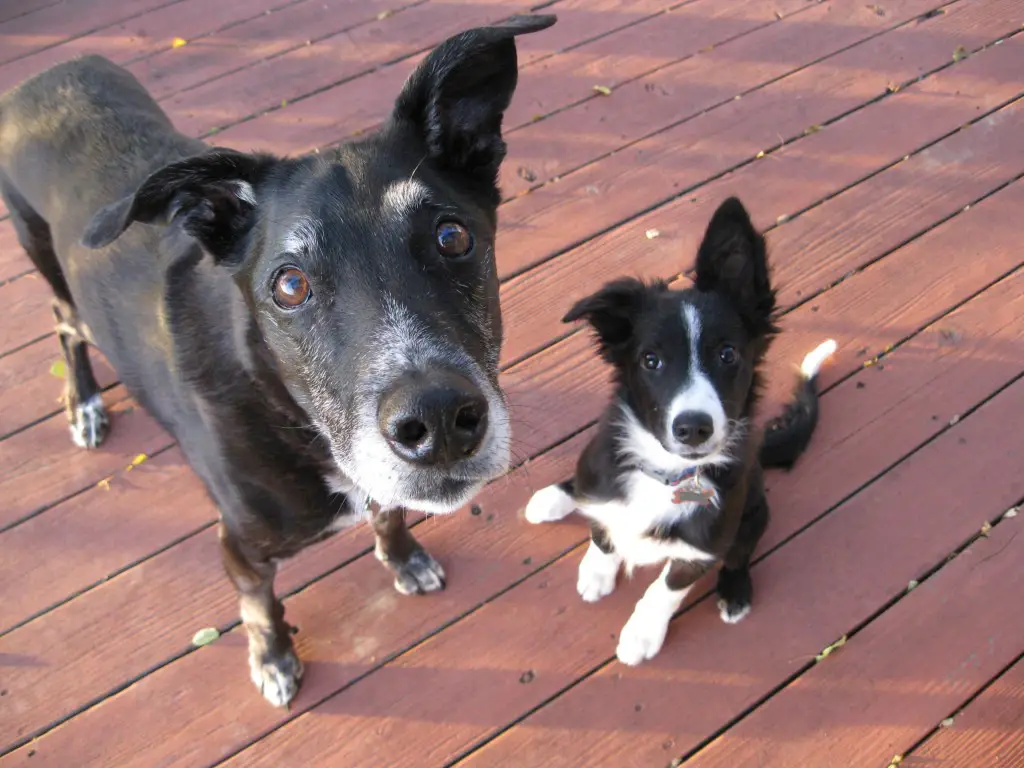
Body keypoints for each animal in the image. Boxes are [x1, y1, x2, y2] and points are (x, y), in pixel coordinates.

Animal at [0, 13, 557, 708]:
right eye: (289, 285)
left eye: (452, 237)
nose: (438, 422)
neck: (289, 413)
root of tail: (44, 76)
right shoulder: (239, 548)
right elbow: (260, 606)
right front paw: (272, 657)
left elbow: (389, 510)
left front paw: (403, 556)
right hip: (50, 267)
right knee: (63, 323)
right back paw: (84, 403)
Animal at [524, 198, 835, 667]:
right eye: (651, 360)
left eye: (728, 354)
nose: (693, 428)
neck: (666, 474)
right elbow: (602, 532)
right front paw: (597, 570)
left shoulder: (704, 547)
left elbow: (666, 589)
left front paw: (641, 635)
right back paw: (555, 498)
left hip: (755, 513)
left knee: (741, 553)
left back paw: (735, 593)